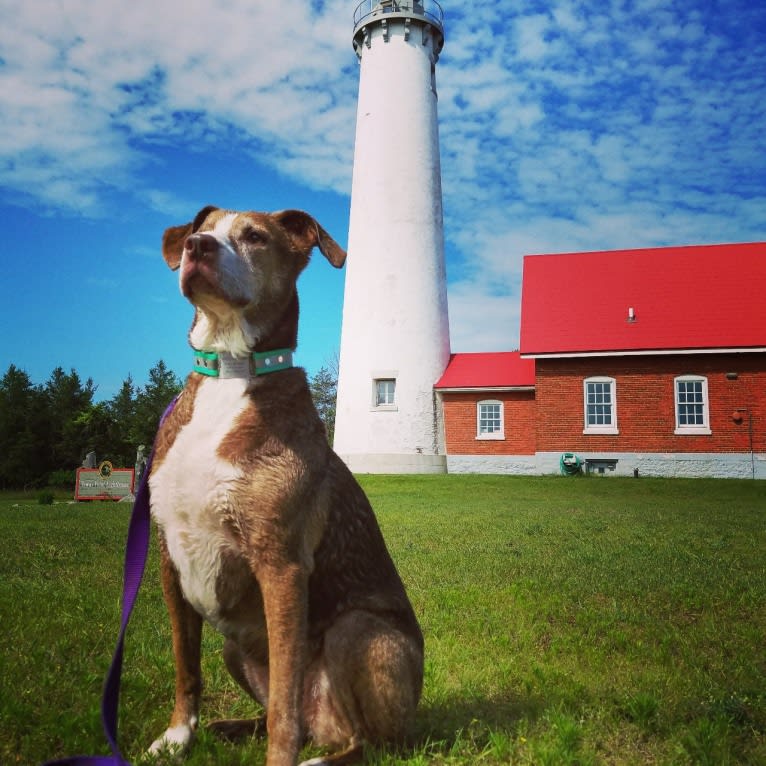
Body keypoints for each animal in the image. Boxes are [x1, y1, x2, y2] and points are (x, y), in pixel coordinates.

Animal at [148, 206, 426, 766]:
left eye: (255, 236)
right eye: (201, 230)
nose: (196, 246)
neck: (230, 375)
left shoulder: (281, 564)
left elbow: (283, 703)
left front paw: (279, 758)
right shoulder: (169, 557)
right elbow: (186, 665)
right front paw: (177, 736)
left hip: (358, 631)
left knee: (373, 741)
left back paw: (319, 756)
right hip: (235, 647)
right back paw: (232, 727)